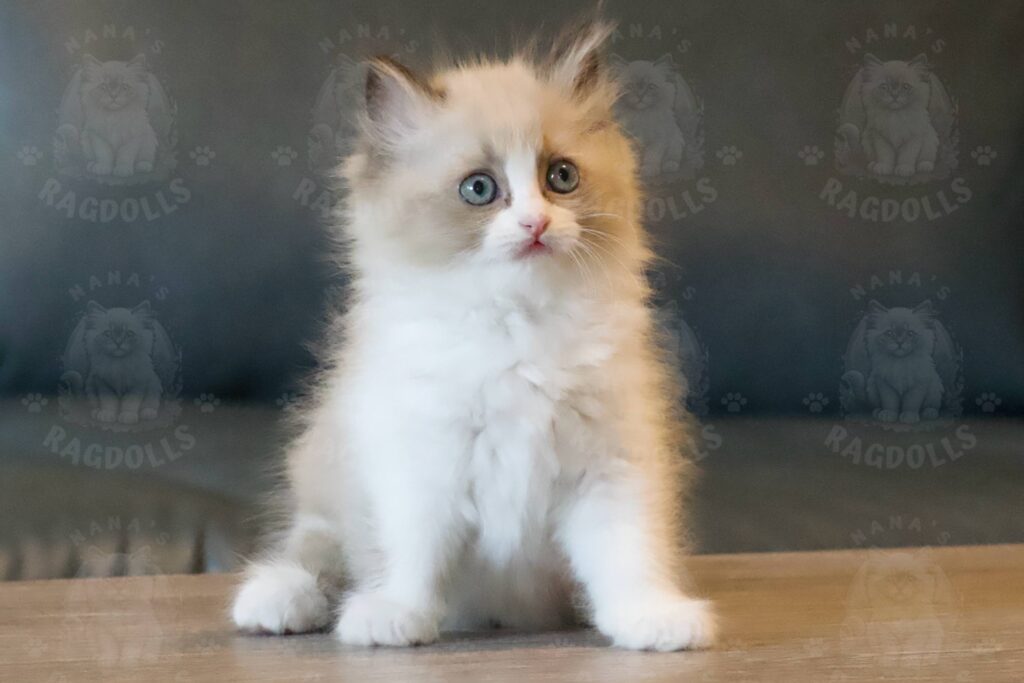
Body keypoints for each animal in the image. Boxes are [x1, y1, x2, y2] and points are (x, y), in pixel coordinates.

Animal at [230, 20, 712, 651]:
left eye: (561, 177)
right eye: (479, 189)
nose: (535, 224)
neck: (516, 327)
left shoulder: (612, 463)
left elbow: (627, 552)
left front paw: (649, 618)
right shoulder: (419, 457)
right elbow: (412, 550)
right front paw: (396, 615)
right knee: (312, 550)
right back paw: (277, 601)